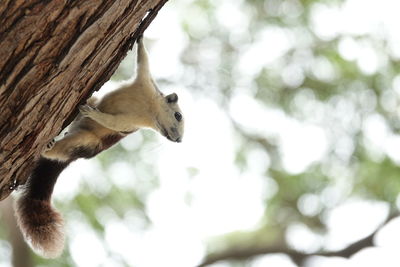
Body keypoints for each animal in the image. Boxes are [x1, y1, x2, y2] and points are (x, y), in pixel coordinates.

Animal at [14, 36, 184, 258]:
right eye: (178, 115)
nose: (178, 140)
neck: (150, 108)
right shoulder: (145, 81)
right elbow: (143, 61)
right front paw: (139, 38)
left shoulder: (128, 123)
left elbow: (111, 122)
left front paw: (93, 114)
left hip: (88, 142)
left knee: (62, 152)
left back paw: (48, 147)